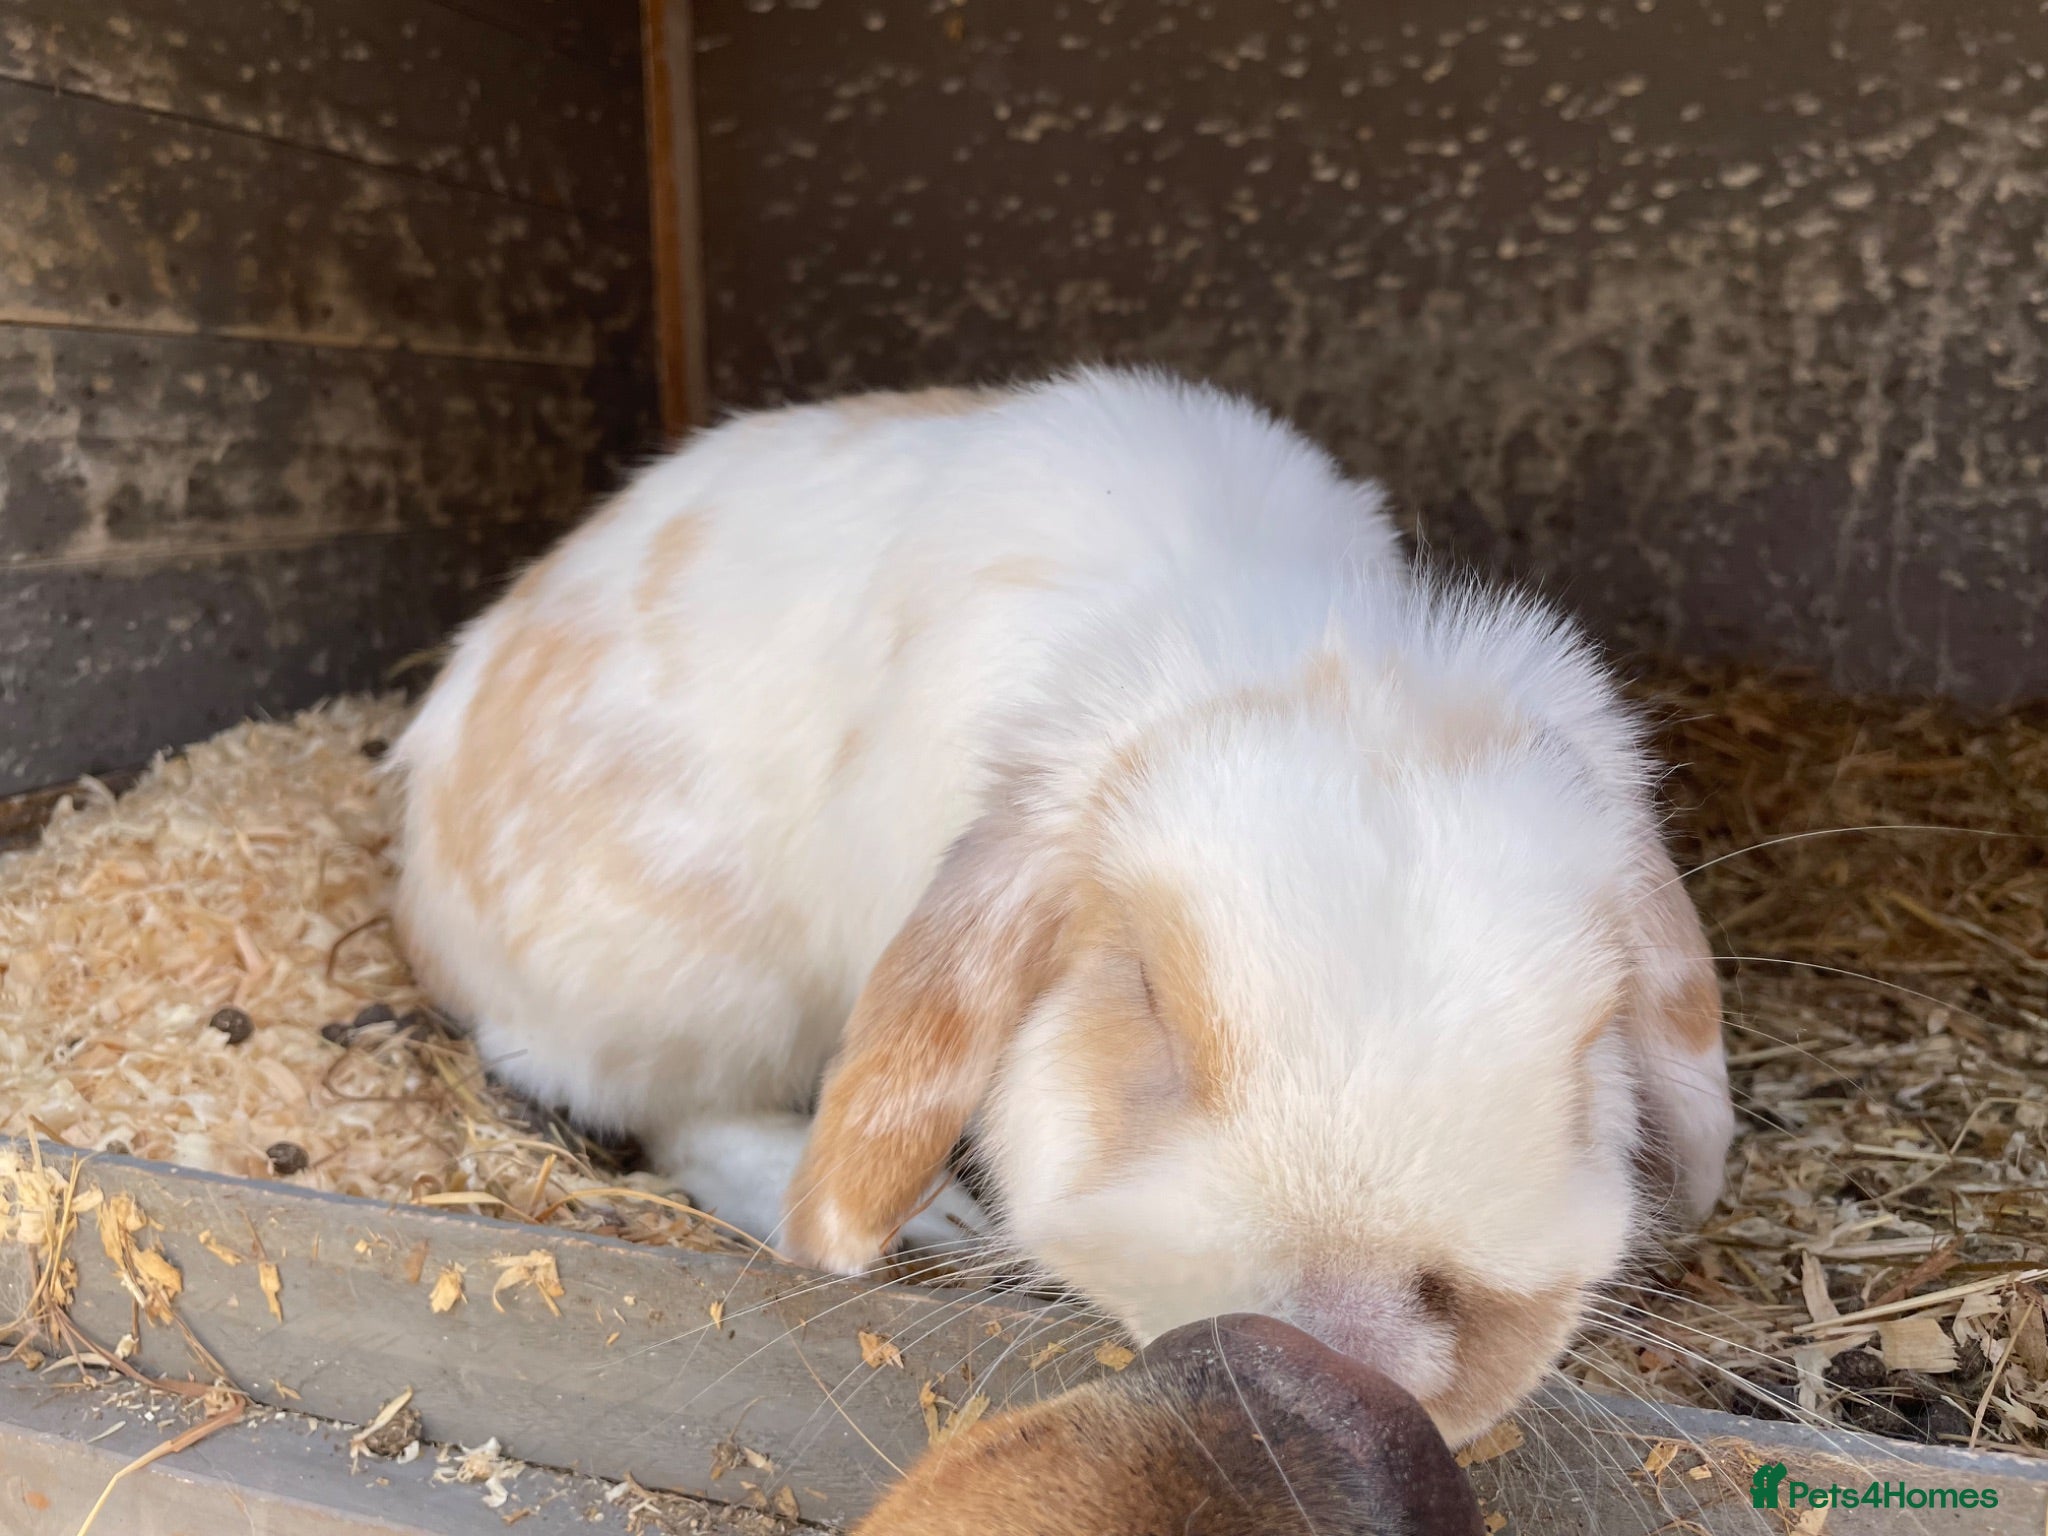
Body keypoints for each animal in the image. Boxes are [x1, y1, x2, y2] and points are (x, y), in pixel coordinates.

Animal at [389, 366, 1733, 1445]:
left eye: (1589, 1045)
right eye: (1145, 998)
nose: (1353, 1349)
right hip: (685, 991)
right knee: (669, 1113)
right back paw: (916, 1218)